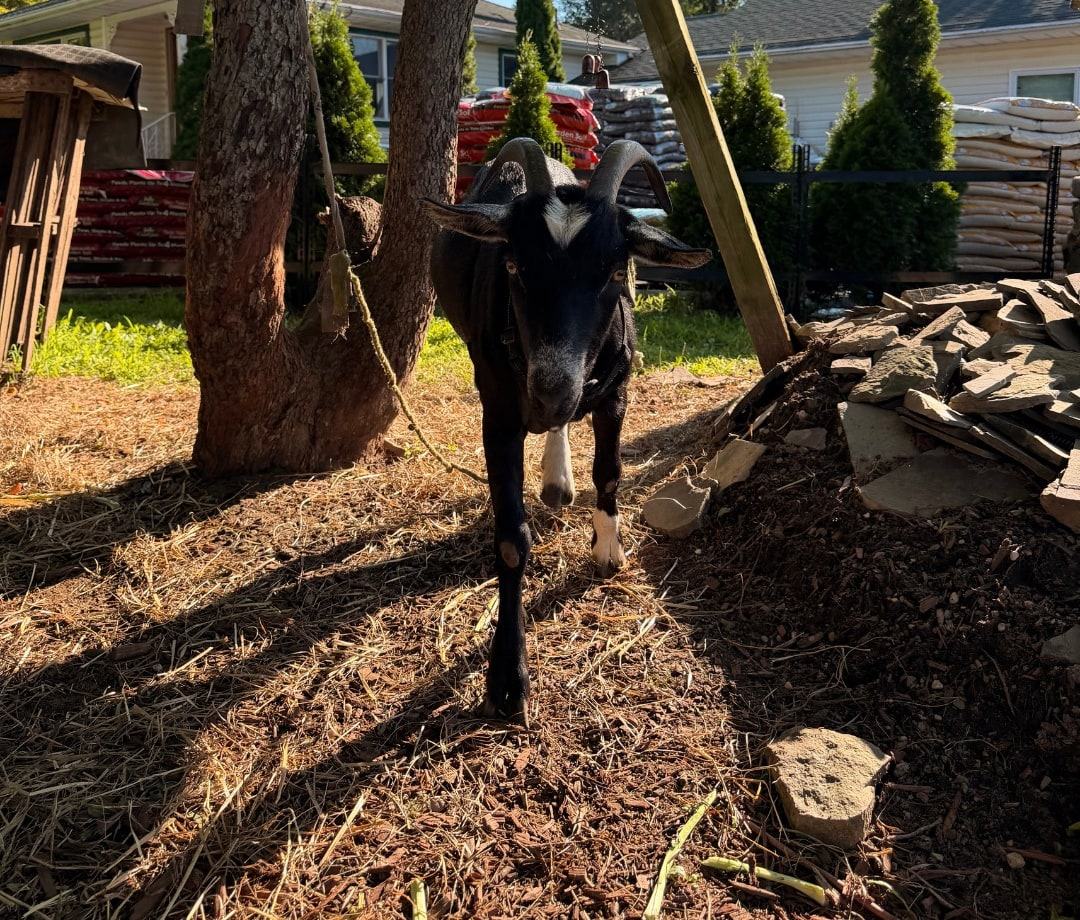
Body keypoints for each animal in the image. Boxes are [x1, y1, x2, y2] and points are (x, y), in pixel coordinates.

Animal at [423, 138, 711, 721]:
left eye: (616, 271)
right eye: (514, 263)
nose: (551, 388)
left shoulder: (615, 394)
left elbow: (611, 472)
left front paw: (608, 551)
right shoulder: (499, 413)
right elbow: (512, 540)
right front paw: (507, 680)